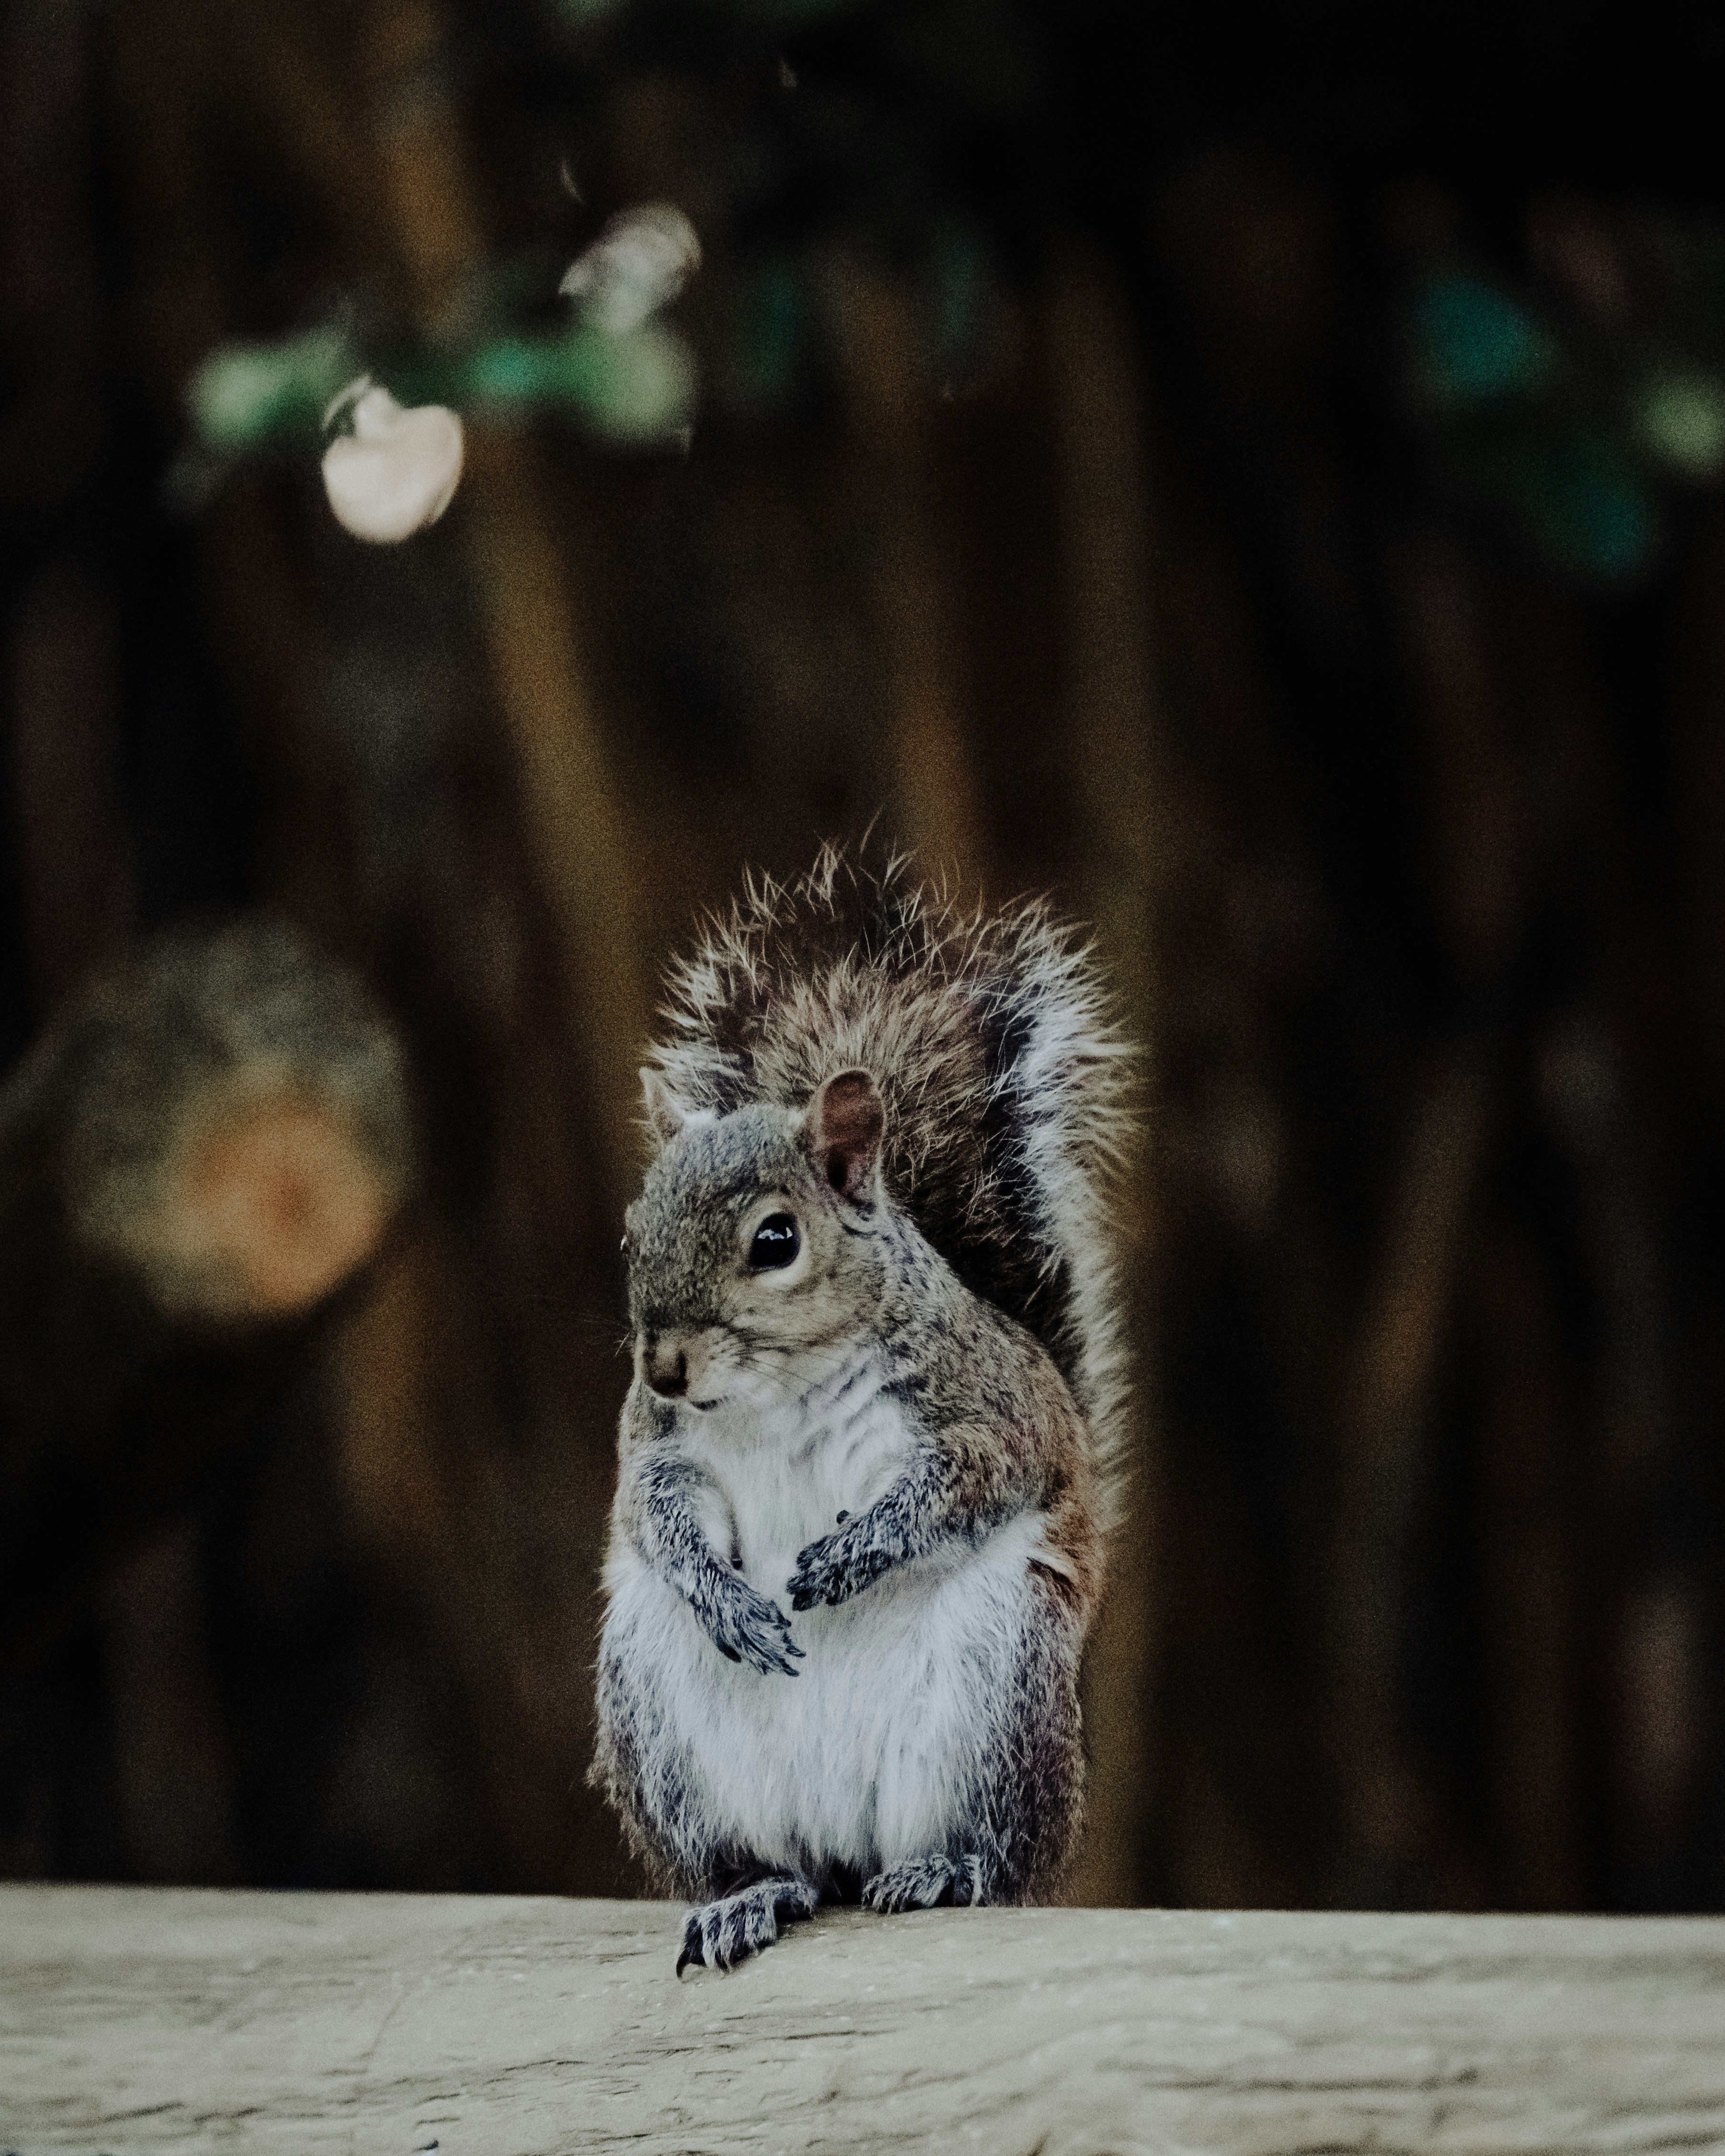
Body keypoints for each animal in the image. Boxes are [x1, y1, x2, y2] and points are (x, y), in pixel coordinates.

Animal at [591, 848, 1131, 1972]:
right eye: (633, 1229)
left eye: (775, 1239)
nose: (662, 1366)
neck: (774, 1391)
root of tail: (844, 1844)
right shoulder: (662, 1448)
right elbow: (654, 1513)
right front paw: (727, 1594)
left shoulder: (985, 1407)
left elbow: (967, 1481)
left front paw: (852, 1552)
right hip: (660, 1713)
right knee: (762, 1860)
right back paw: (748, 1894)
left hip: (998, 1684)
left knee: (993, 1855)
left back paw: (942, 1870)